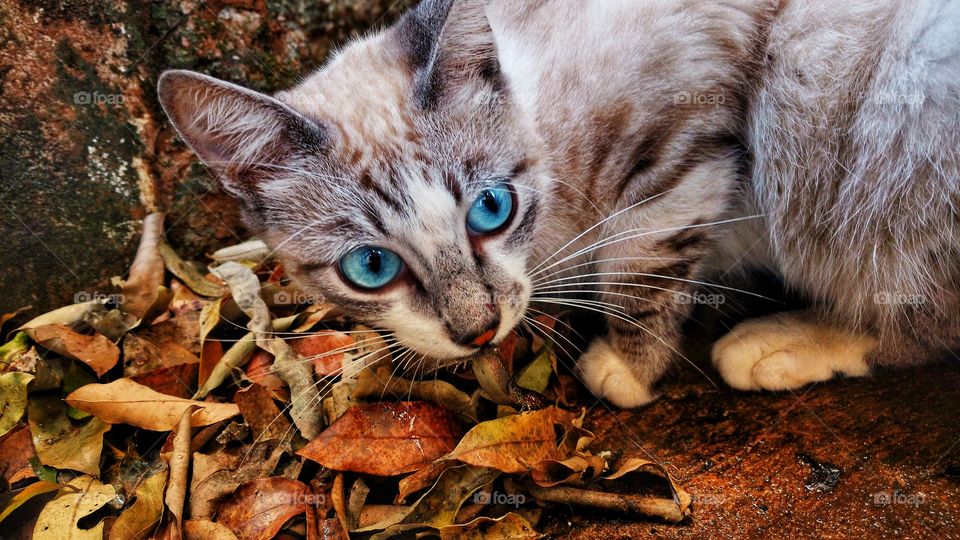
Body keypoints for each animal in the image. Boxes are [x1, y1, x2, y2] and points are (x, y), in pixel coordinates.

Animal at [158, 0, 960, 404]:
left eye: (491, 210)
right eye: (371, 268)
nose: (479, 332)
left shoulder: (684, 143)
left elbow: (639, 271)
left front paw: (629, 372)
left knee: (921, 313)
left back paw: (783, 343)